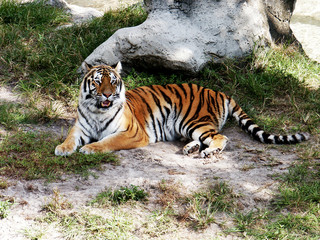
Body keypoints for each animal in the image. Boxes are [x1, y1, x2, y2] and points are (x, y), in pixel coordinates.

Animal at [55, 62, 310, 158]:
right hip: (186, 126)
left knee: (220, 137)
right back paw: (190, 148)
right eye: (98, 82)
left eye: (113, 82)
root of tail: (219, 92)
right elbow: (70, 137)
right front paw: (62, 148)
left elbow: (107, 141)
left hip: (193, 121)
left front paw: (90, 148)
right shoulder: (80, 127)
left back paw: (208, 152)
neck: (97, 110)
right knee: (203, 138)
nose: (108, 94)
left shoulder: (132, 133)